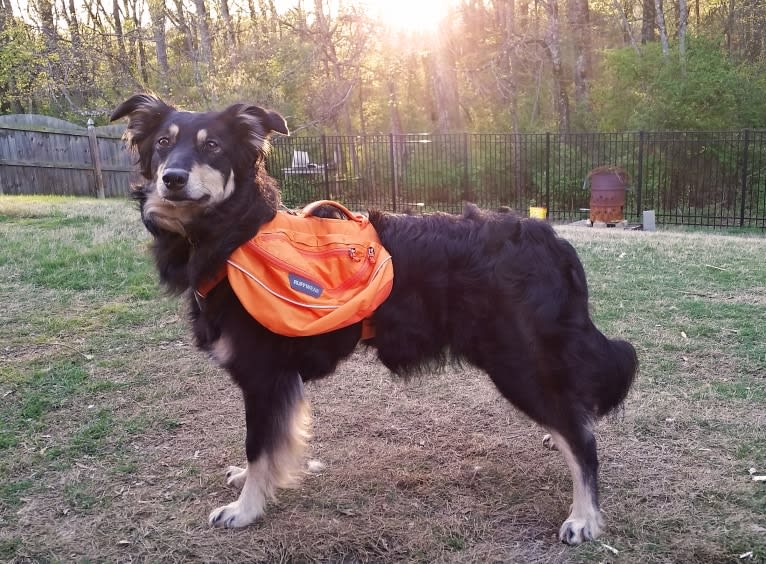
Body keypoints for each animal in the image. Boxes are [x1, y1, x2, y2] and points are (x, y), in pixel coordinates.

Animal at [111, 94, 640, 544]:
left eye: (213, 147)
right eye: (163, 143)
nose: (172, 178)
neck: (235, 233)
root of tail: (551, 238)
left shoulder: (265, 374)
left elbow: (259, 443)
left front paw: (246, 507)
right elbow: (273, 442)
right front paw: (253, 481)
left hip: (515, 360)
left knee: (582, 437)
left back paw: (584, 517)